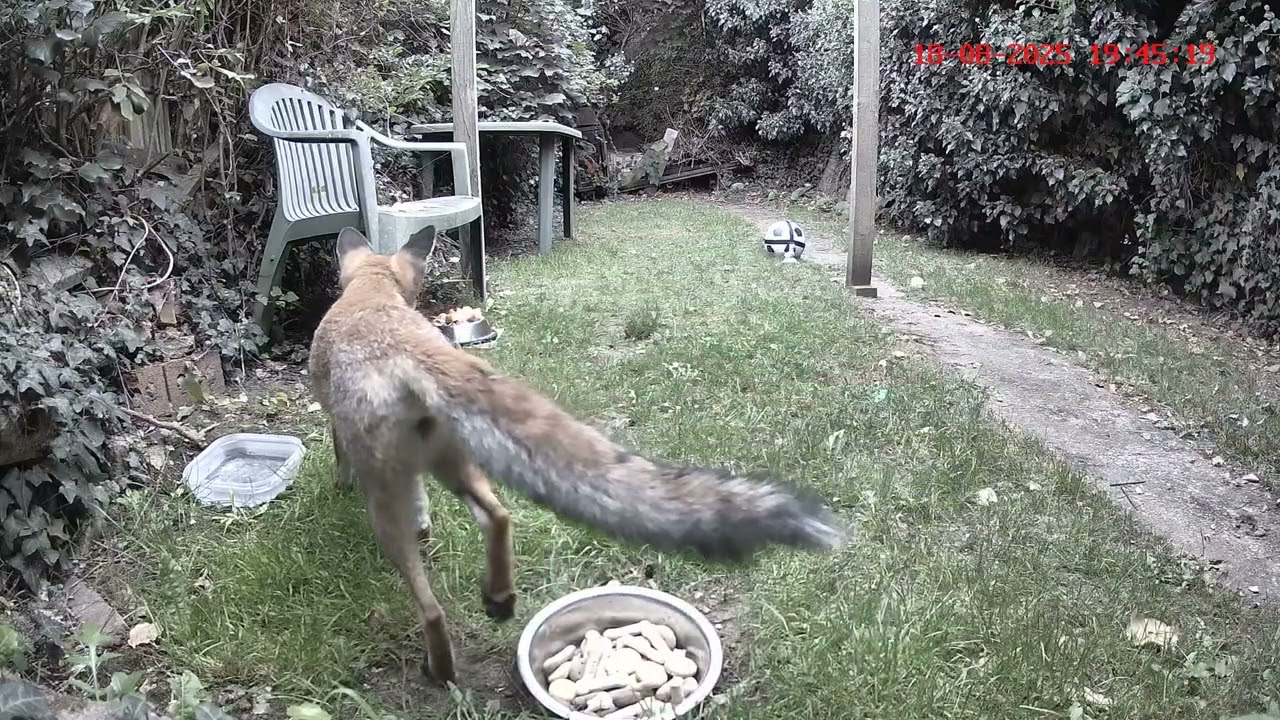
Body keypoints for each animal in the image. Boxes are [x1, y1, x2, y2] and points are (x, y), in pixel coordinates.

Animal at [308, 225, 849, 683]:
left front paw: (338, 484)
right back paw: (499, 597)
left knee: (432, 608)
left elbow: (339, 455)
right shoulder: (418, 472)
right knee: (499, 516)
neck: (371, 294)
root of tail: (411, 352)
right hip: (453, 462)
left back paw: (441, 669)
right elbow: (424, 503)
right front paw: (426, 524)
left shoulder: (343, 430)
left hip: (388, 505)